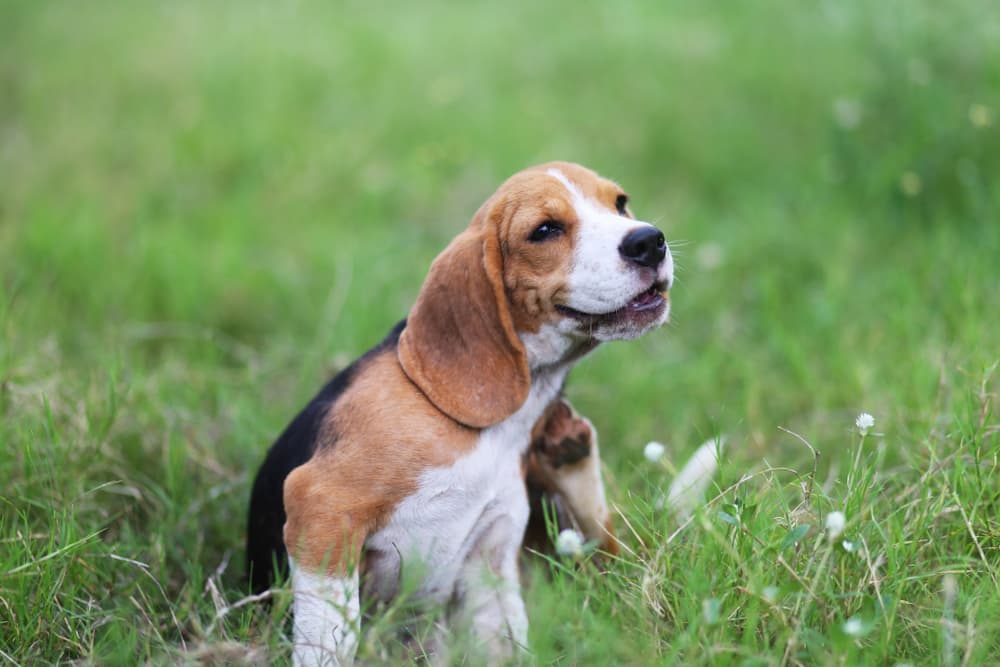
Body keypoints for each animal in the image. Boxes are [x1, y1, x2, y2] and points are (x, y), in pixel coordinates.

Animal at [246, 163, 676, 667]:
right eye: (544, 230)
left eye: (620, 203)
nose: (648, 241)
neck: (499, 430)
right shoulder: (320, 507)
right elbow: (331, 636)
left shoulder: (493, 554)